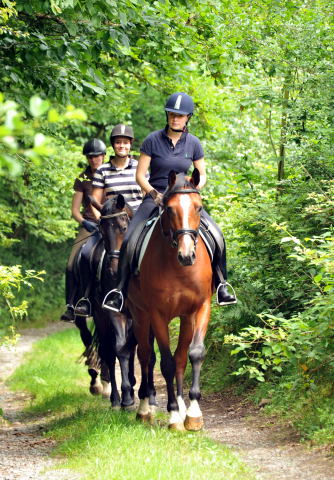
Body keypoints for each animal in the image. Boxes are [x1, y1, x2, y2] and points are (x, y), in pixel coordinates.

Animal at [126, 170, 213, 432]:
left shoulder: (199, 308)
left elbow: (193, 354)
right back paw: (145, 409)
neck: (179, 268)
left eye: (198, 207)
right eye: (170, 209)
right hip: (140, 314)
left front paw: (192, 414)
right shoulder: (157, 314)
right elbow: (164, 362)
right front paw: (174, 415)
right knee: (145, 355)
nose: (187, 255)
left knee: (180, 358)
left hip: (184, 318)